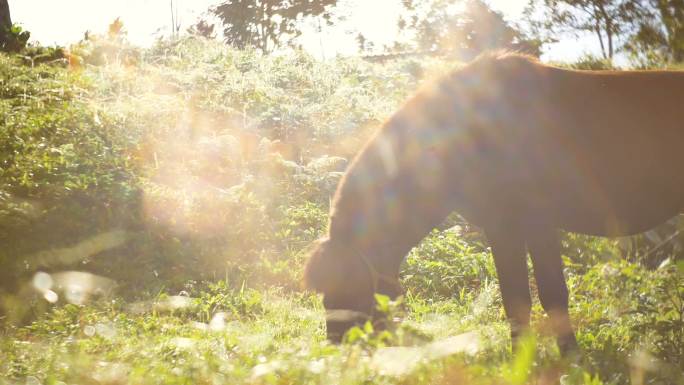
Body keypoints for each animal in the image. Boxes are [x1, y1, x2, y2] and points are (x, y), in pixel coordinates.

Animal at [304, 52, 684, 352]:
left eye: (348, 286)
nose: (337, 347)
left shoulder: (534, 224)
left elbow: (549, 295)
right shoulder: (502, 229)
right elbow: (516, 300)